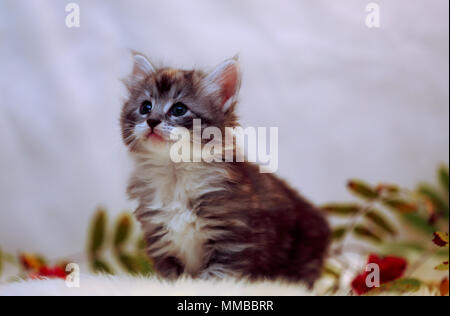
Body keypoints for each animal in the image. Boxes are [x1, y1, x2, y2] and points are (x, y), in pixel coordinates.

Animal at [120, 51, 330, 286]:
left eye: (179, 109)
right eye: (145, 107)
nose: (152, 121)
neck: (176, 173)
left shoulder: (231, 241)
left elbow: (215, 280)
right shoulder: (160, 240)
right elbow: (171, 278)